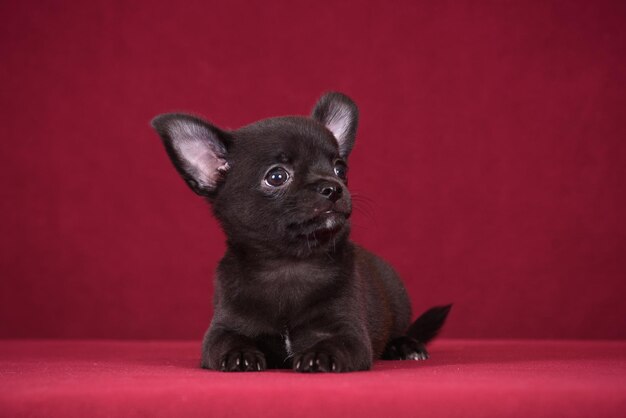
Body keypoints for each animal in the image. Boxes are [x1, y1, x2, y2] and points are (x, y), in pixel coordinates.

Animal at [151, 92, 448, 372]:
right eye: (277, 176)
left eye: (340, 169)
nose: (333, 187)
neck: (289, 264)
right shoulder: (223, 329)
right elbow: (227, 341)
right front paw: (240, 354)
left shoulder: (348, 332)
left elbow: (335, 342)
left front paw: (319, 355)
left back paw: (406, 346)